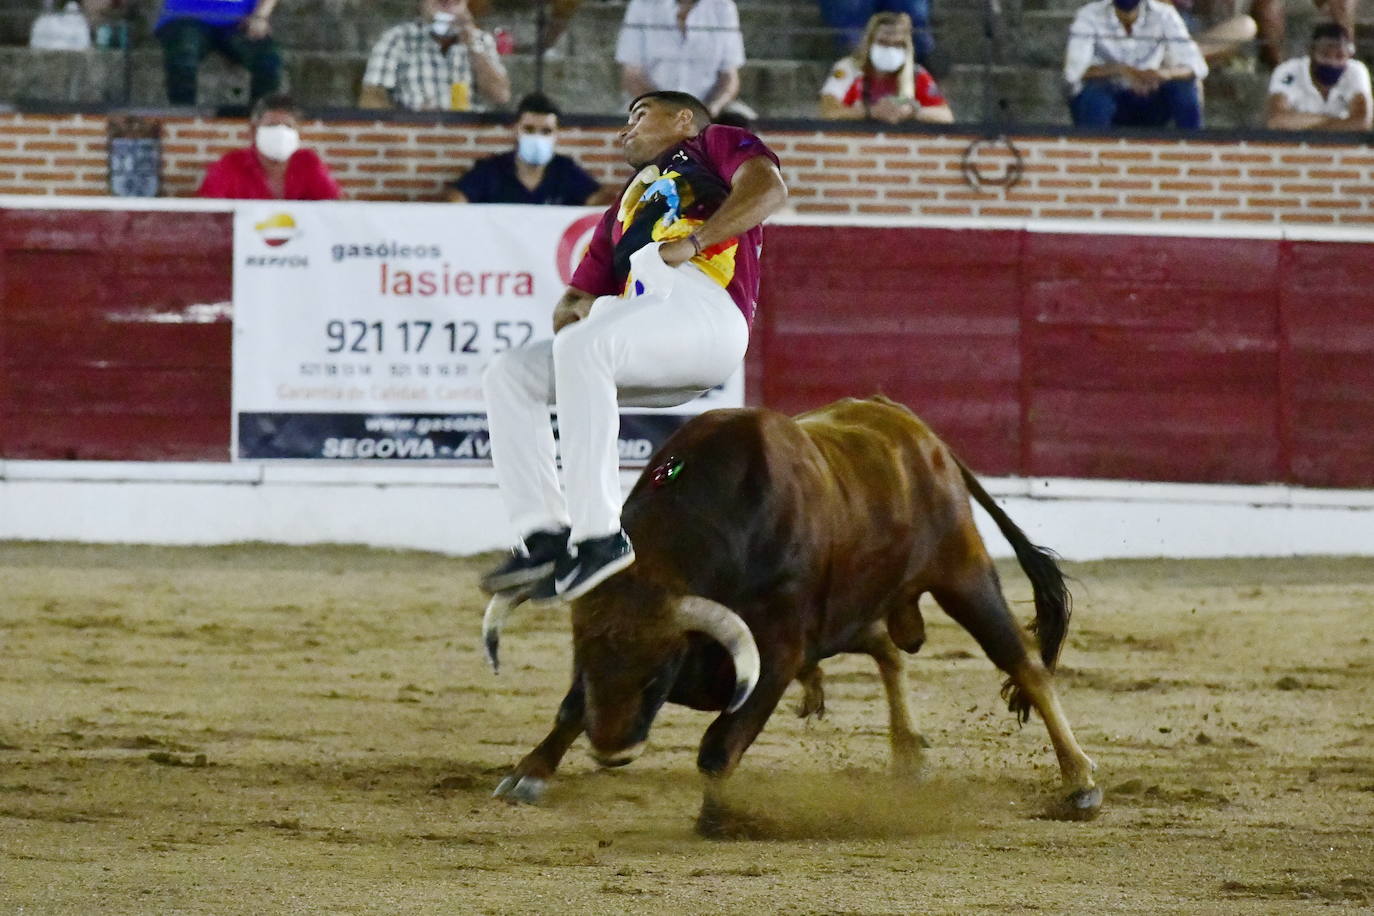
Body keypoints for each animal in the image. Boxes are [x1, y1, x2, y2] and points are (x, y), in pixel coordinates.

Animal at [483, 398, 1104, 834]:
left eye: (659, 671)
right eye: (583, 659)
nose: (612, 751)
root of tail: (917, 431)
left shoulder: (775, 654)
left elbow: (720, 744)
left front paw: (720, 819)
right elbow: (570, 709)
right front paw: (528, 775)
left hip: (964, 575)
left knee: (1023, 663)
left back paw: (1080, 783)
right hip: (850, 609)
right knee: (886, 649)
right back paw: (905, 751)